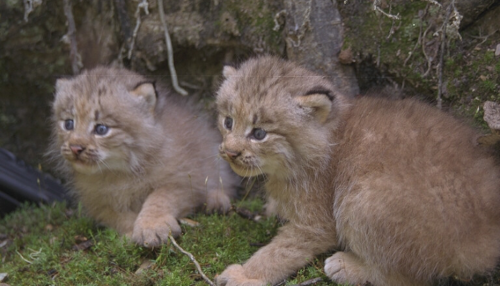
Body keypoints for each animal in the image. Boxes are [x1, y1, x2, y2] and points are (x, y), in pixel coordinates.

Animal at [49, 67, 237, 248]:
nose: (75, 148)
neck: (119, 171)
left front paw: (152, 226)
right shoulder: (97, 202)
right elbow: (116, 216)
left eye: (101, 129)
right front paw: (133, 232)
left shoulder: (185, 180)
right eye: (68, 124)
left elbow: (159, 198)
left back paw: (216, 201)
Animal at [215, 56, 500, 286]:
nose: (230, 152)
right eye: (228, 122)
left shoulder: (316, 224)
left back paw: (347, 267)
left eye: (259, 133)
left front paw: (245, 275)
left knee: (409, 278)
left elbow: (279, 251)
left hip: (361, 197)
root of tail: (487, 226)